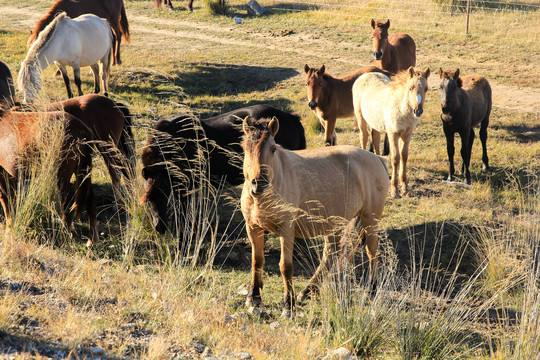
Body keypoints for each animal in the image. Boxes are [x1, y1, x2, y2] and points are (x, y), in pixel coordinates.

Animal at [0, 109, 100, 245]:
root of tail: (81, 128)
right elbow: (12, 201)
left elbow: (7, 203)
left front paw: (9, 232)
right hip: (82, 173)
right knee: (91, 200)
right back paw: (91, 240)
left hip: (62, 176)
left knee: (67, 205)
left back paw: (64, 238)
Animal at [141, 104, 306, 235]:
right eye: (148, 200)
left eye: (163, 194)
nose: (159, 228)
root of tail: (292, 118)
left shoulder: (185, 188)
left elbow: (184, 215)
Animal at [240, 116, 388, 318]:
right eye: (245, 147)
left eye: (273, 148)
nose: (258, 184)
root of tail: (378, 159)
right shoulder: (253, 228)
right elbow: (257, 261)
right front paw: (254, 297)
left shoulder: (286, 230)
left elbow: (285, 266)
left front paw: (288, 306)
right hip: (336, 224)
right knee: (331, 255)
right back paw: (308, 290)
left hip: (369, 220)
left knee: (372, 251)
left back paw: (371, 290)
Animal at [352, 67, 432, 197]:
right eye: (411, 88)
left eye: (426, 88)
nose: (418, 111)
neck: (401, 108)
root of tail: (365, 75)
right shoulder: (393, 134)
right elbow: (395, 158)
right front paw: (395, 191)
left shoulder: (407, 134)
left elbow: (404, 156)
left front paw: (405, 187)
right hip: (361, 118)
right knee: (364, 137)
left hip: (375, 123)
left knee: (375, 138)